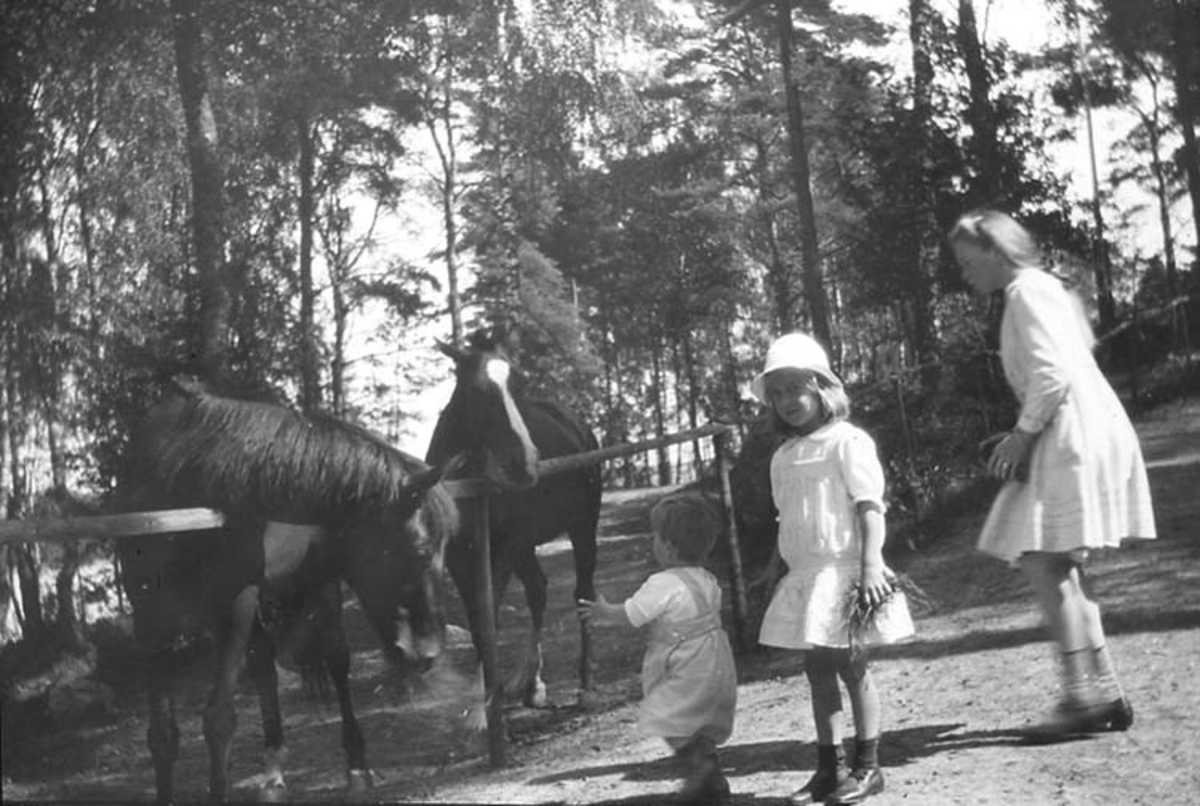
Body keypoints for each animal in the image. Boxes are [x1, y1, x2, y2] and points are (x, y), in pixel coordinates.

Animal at [114, 381, 458, 801]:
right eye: (423, 551)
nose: (429, 653)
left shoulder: (233, 602)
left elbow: (219, 719)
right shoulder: (150, 614)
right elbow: (163, 736)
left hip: (306, 585)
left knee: (334, 659)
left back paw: (356, 767)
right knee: (265, 664)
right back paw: (274, 773)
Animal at [427, 326, 604, 710]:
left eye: (520, 385)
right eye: (476, 391)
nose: (523, 463)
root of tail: (579, 425)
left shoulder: (504, 550)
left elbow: (489, 619)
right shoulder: (460, 559)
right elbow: (478, 623)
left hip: (582, 526)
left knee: (582, 594)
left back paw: (585, 684)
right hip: (526, 547)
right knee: (538, 589)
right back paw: (531, 684)